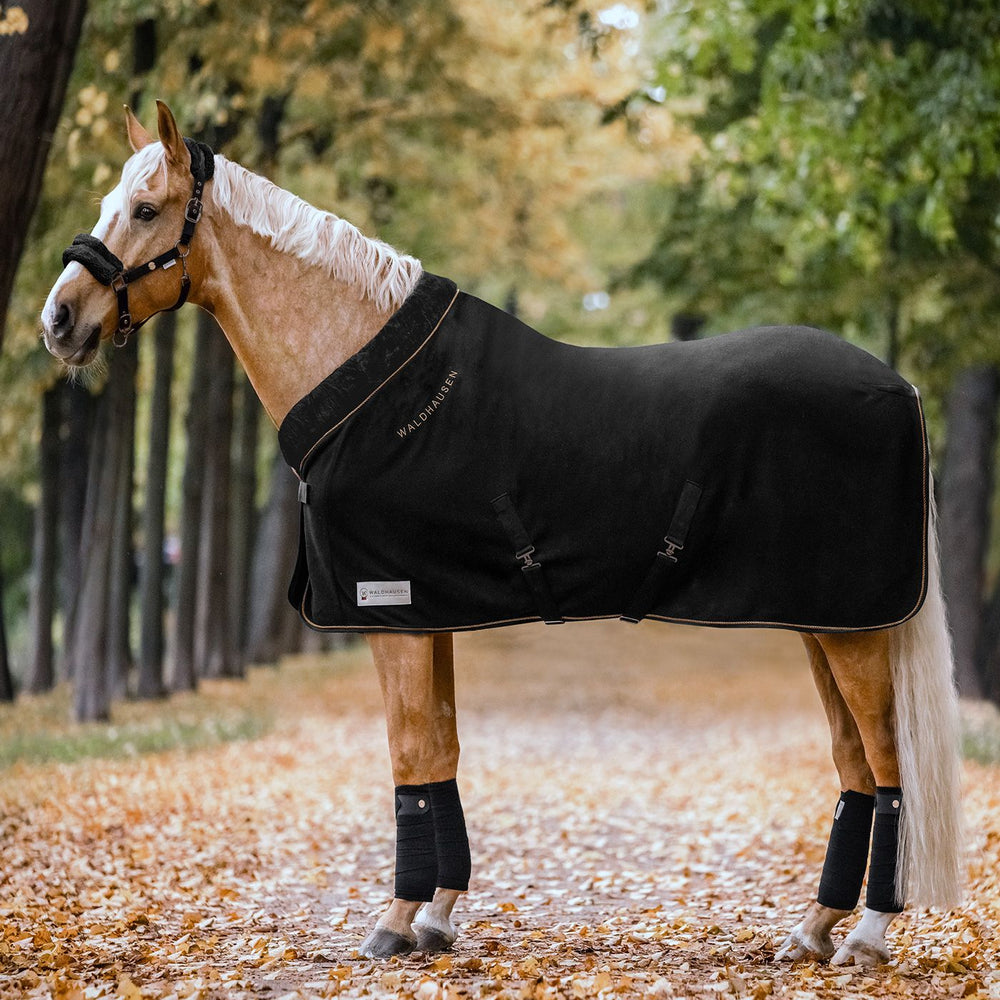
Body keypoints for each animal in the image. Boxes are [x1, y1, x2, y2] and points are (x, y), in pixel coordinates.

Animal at [39, 103, 960, 968]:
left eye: (147, 208)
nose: (59, 320)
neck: (370, 384)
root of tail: (901, 386)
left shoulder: (391, 615)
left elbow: (411, 758)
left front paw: (394, 921)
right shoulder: (428, 613)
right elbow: (441, 752)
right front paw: (438, 918)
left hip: (855, 631)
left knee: (888, 769)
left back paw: (868, 935)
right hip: (826, 623)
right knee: (853, 768)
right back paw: (813, 931)